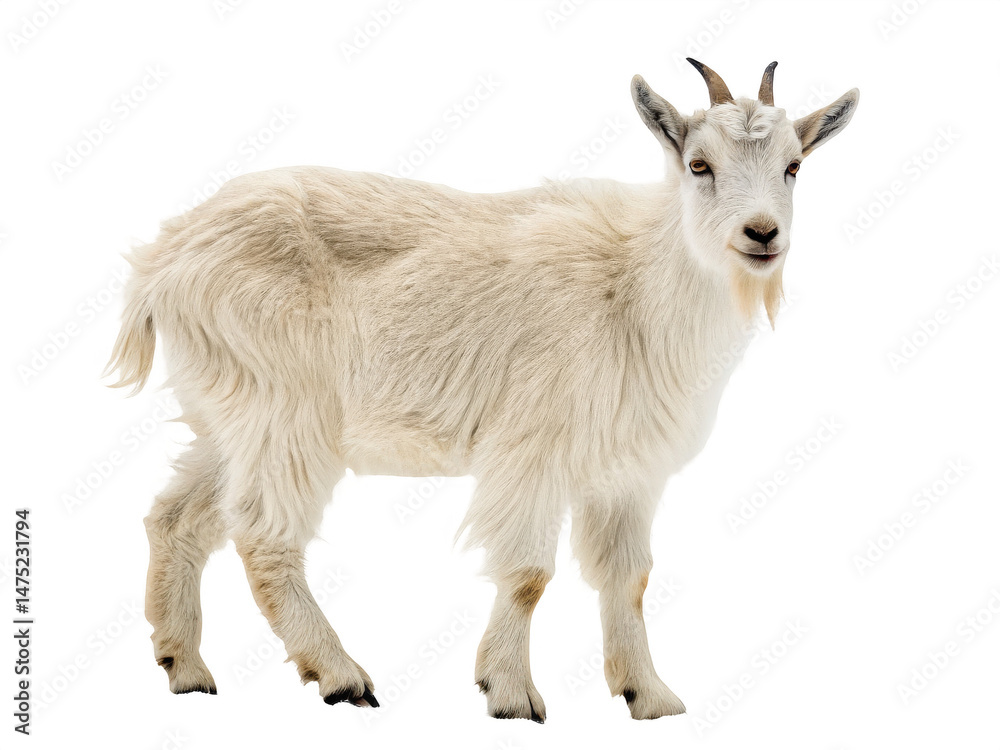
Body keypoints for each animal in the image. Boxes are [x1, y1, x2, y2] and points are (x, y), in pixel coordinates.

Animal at [107, 58, 858, 721]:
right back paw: (341, 676)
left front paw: (649, 696)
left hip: (227, 413)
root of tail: (163, 259)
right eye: (700, 165)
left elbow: (630, 579)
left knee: (175, 517)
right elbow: (527, 575)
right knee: (263, 535)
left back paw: (185, 667)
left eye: (793, 166)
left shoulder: (626, 472)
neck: (639, 283)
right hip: (284, 407)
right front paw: (511, 694)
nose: (762, 233)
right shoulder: (531, 446)